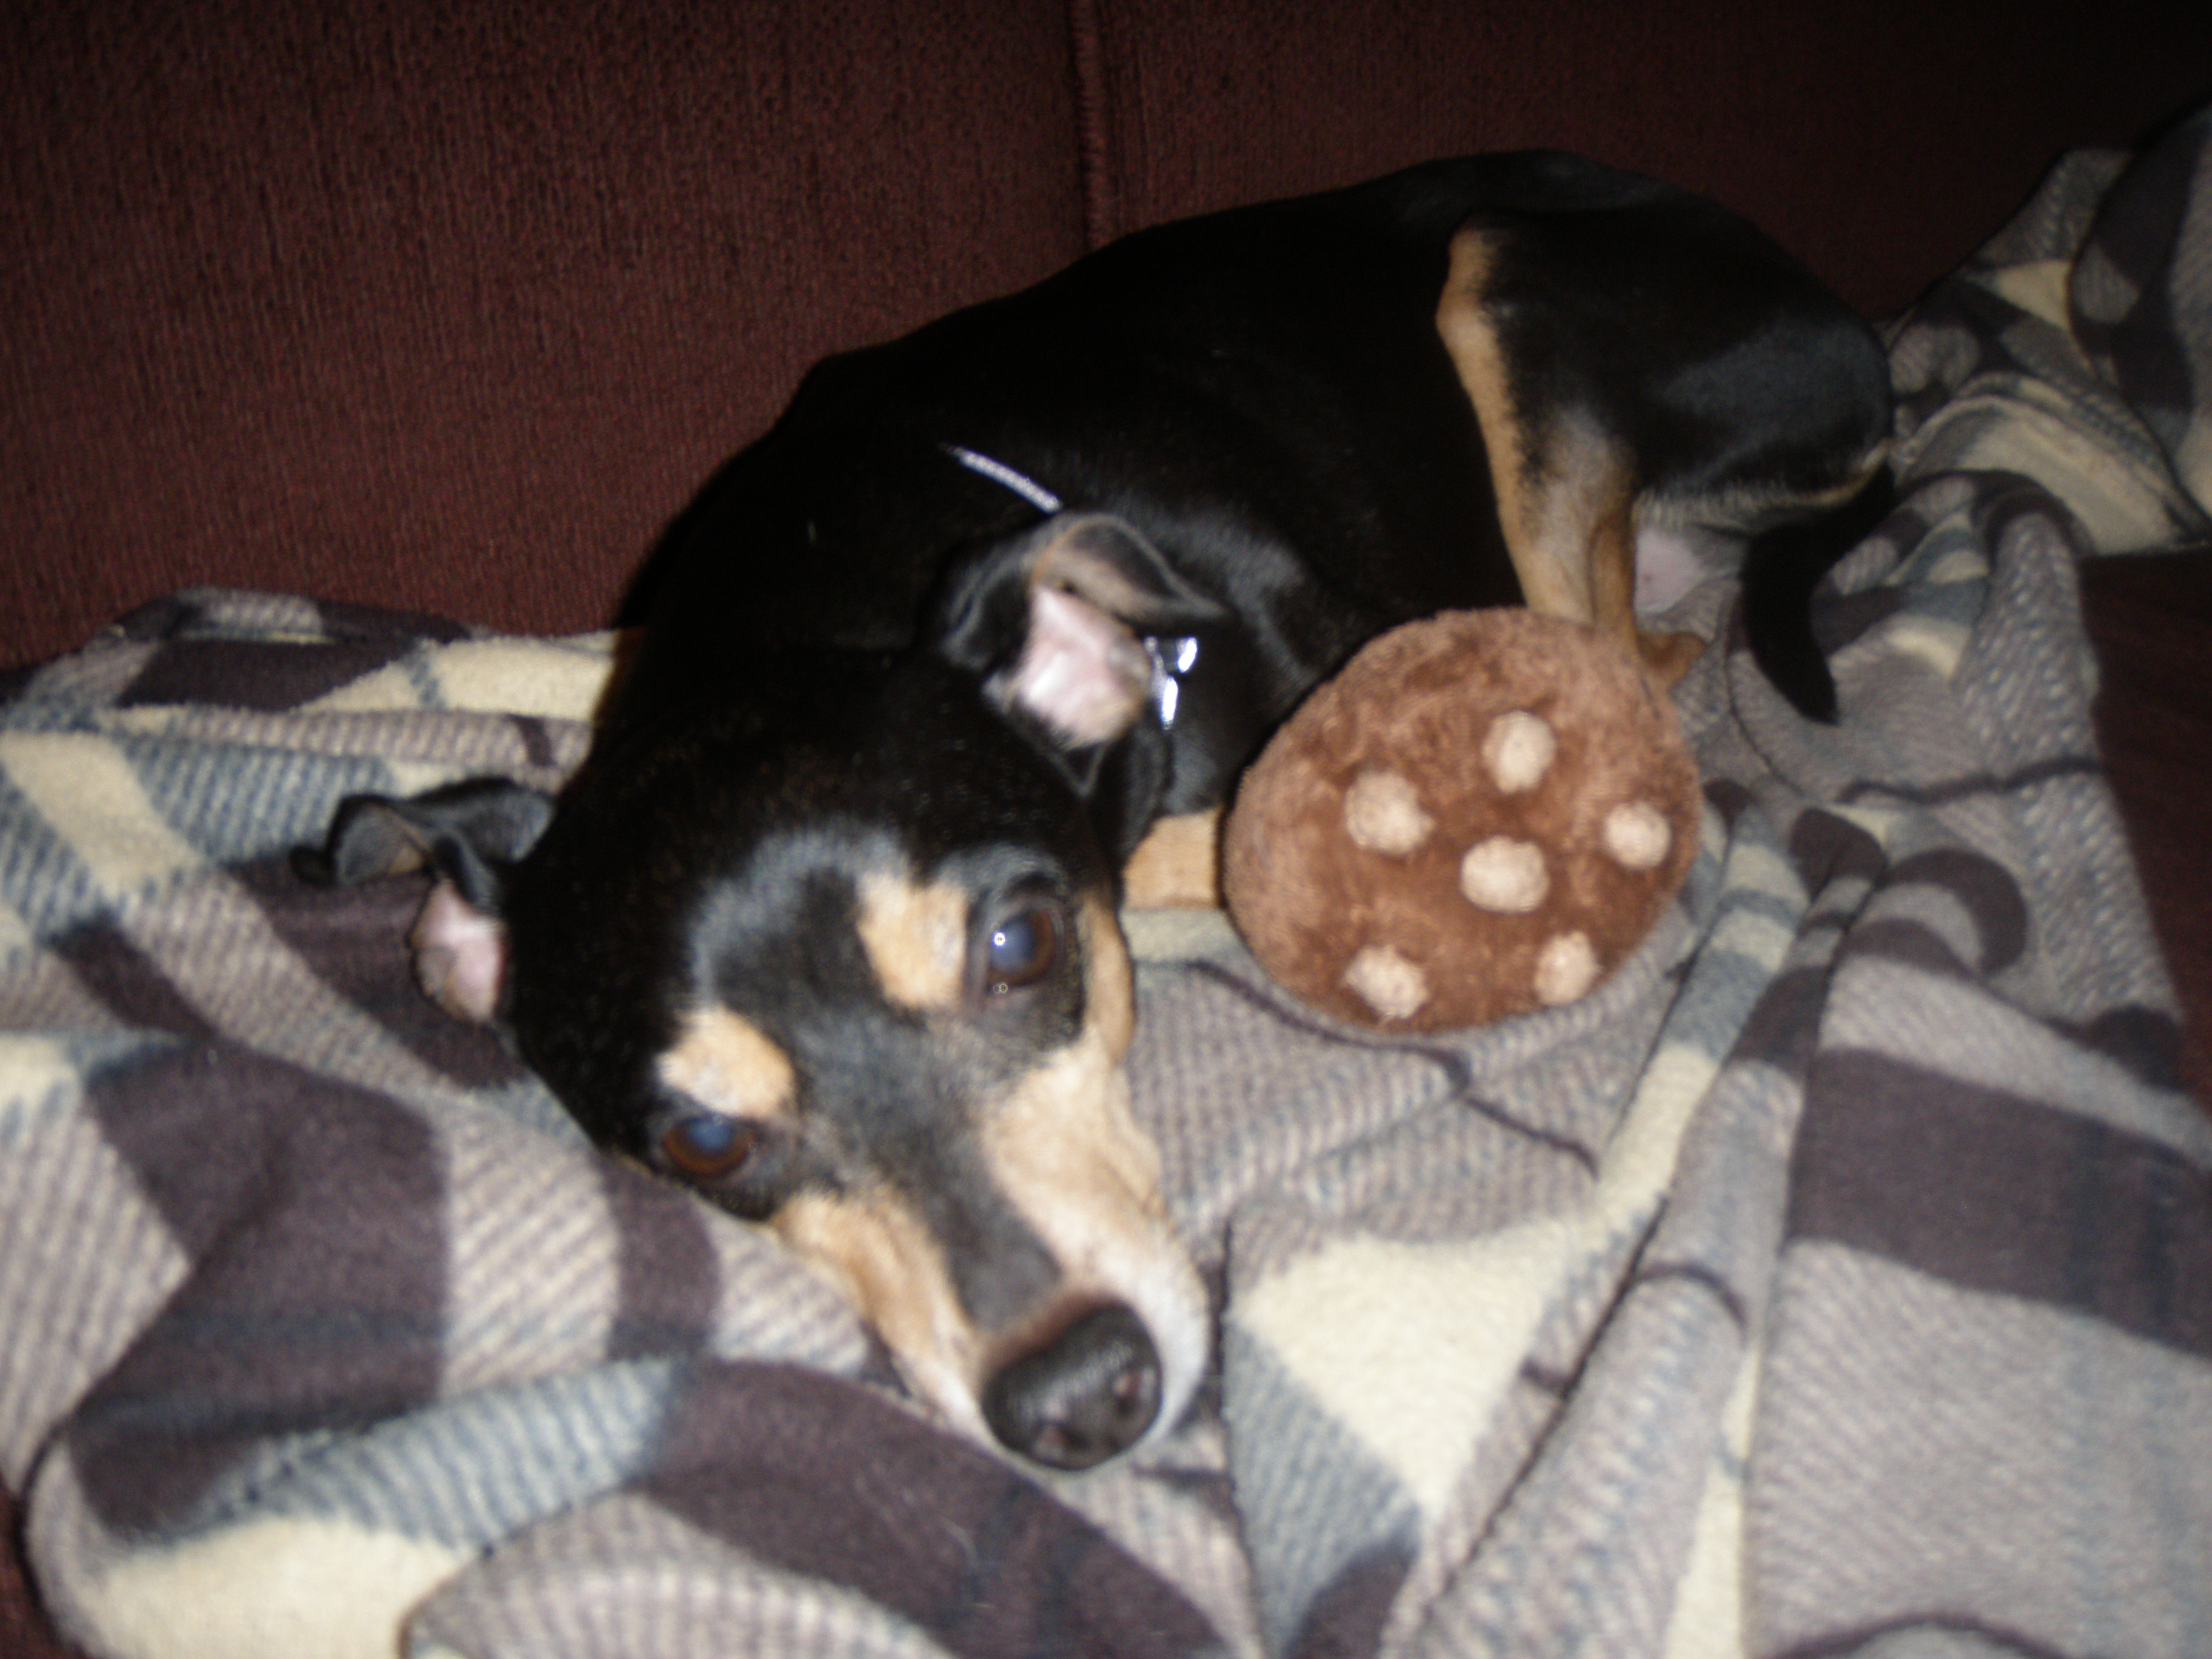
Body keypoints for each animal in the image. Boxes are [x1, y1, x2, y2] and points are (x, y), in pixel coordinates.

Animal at [299, 152, 1890, 1470]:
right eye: (698, 1143)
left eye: (1019, 948)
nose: (1080, 1400)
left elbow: (1246, 840)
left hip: (1508, 287)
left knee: (1621, 657)